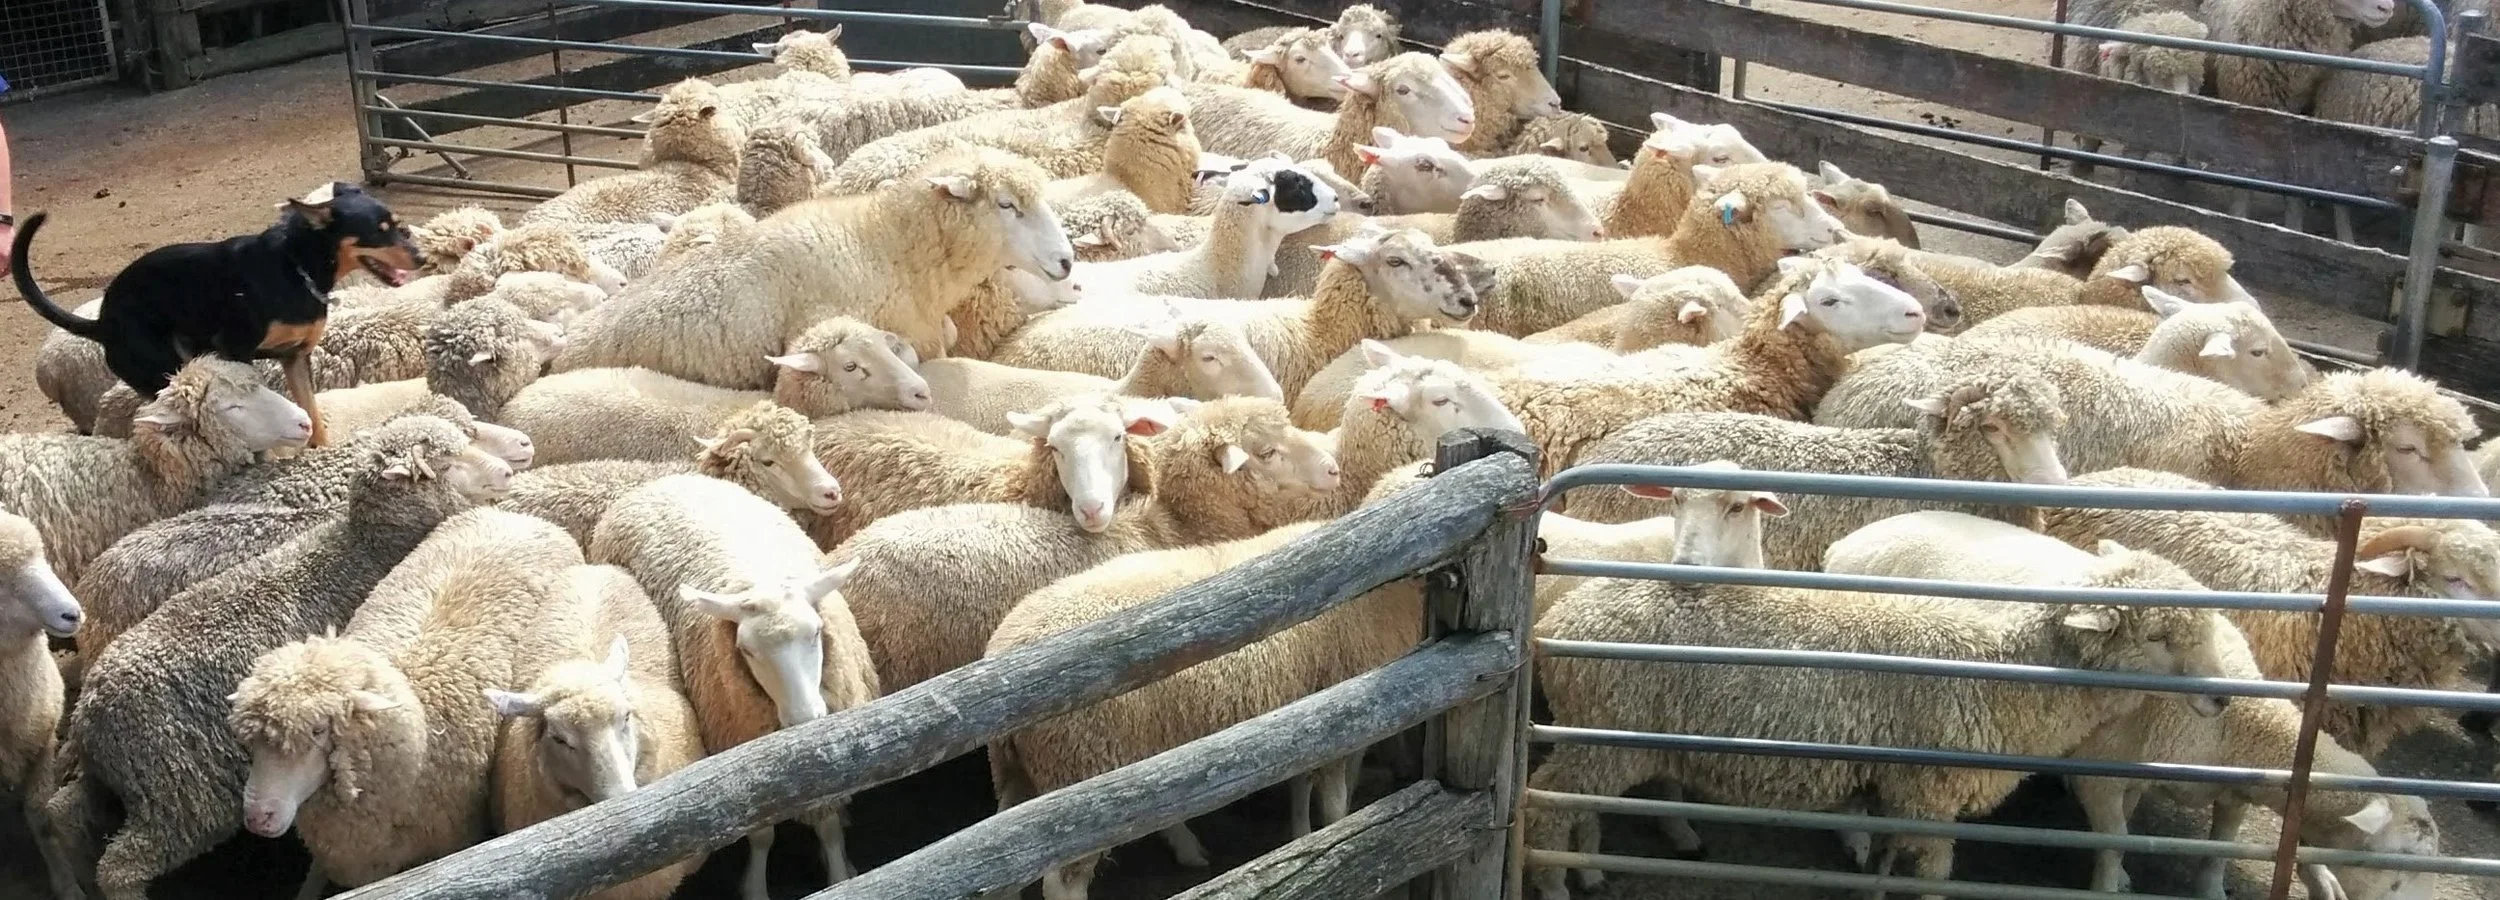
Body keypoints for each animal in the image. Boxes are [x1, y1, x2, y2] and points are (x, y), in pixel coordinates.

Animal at [42, 416, 510, 900]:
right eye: (448, 462)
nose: (508, 472)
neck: (364, 548)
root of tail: (92, 708)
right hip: (181, 796)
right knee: (120, 868)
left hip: (127, 778)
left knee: (60, 814)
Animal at [589, 473, 877, 897]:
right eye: (746, 650)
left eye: (816, 632)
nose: (803, 719)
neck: (760, 577)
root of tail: (668, 478)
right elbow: (759, 833)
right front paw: (755, 887)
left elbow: (827, 826)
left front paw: (840, 873)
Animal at [1524, 542, 2234, 900]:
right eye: (2159, 637)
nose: (2223, 699)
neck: (2006, 670)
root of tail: (1558, 619)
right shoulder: (1930, 792)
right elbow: (1936, 874)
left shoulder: (1898, 784)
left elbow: (1890, 856)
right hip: (1606, 733)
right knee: (1546, 805)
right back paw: (1555, 882)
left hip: (1602, 733)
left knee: (1577, 803)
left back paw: (1589, 868)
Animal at [1823, 509, 2440, 900]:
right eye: (2394, 873)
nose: (2220, 696)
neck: (2240, 733)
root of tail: (1846, 542)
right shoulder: (2097, 772)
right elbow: (2114, 839)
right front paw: (2109, 884)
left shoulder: (2212, 785)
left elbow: (2217, 845)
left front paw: (2210, 888)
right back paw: (1855, 838)